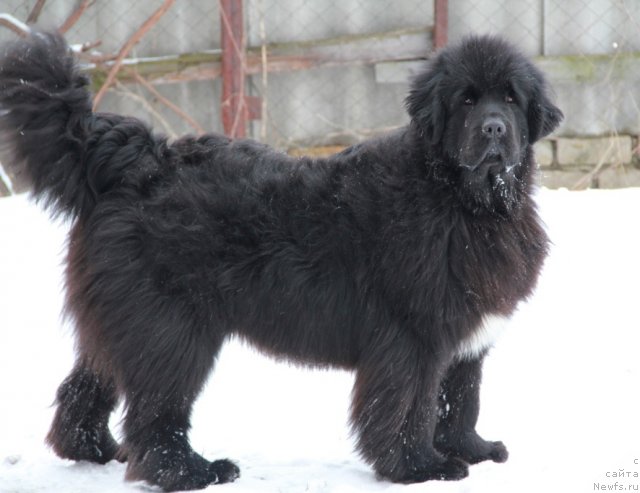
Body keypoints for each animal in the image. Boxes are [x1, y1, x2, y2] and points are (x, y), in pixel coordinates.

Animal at [0, 32, 560, 490]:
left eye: (511, 98)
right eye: (466, 100)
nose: (493, 129)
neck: (465, 202)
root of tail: (138, 160)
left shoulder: (465, 340)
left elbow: (461, 400)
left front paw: (474, 450)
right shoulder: (413, 338)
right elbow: (411, 407)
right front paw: (420, 467)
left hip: (126, 320)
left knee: (87, 385)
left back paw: (94, 451)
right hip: (174, 331)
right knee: (156, 415)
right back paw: (192, 472)